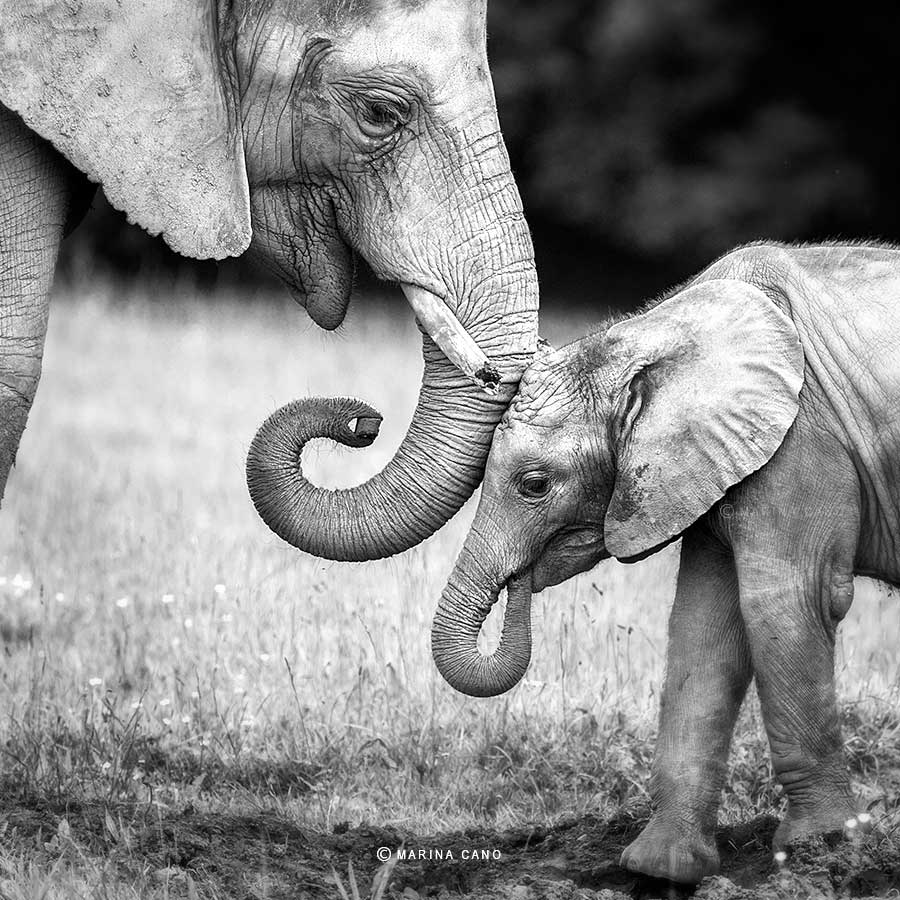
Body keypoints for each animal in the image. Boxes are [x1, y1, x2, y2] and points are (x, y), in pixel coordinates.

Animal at [430, 243, 900, 884]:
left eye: (534, 485)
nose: (521, 581)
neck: (649, 334)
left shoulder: (803, 442)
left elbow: (787, 604)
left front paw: (820, 851)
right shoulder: (714, 464)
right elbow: (705, 625)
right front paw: (659, 870)